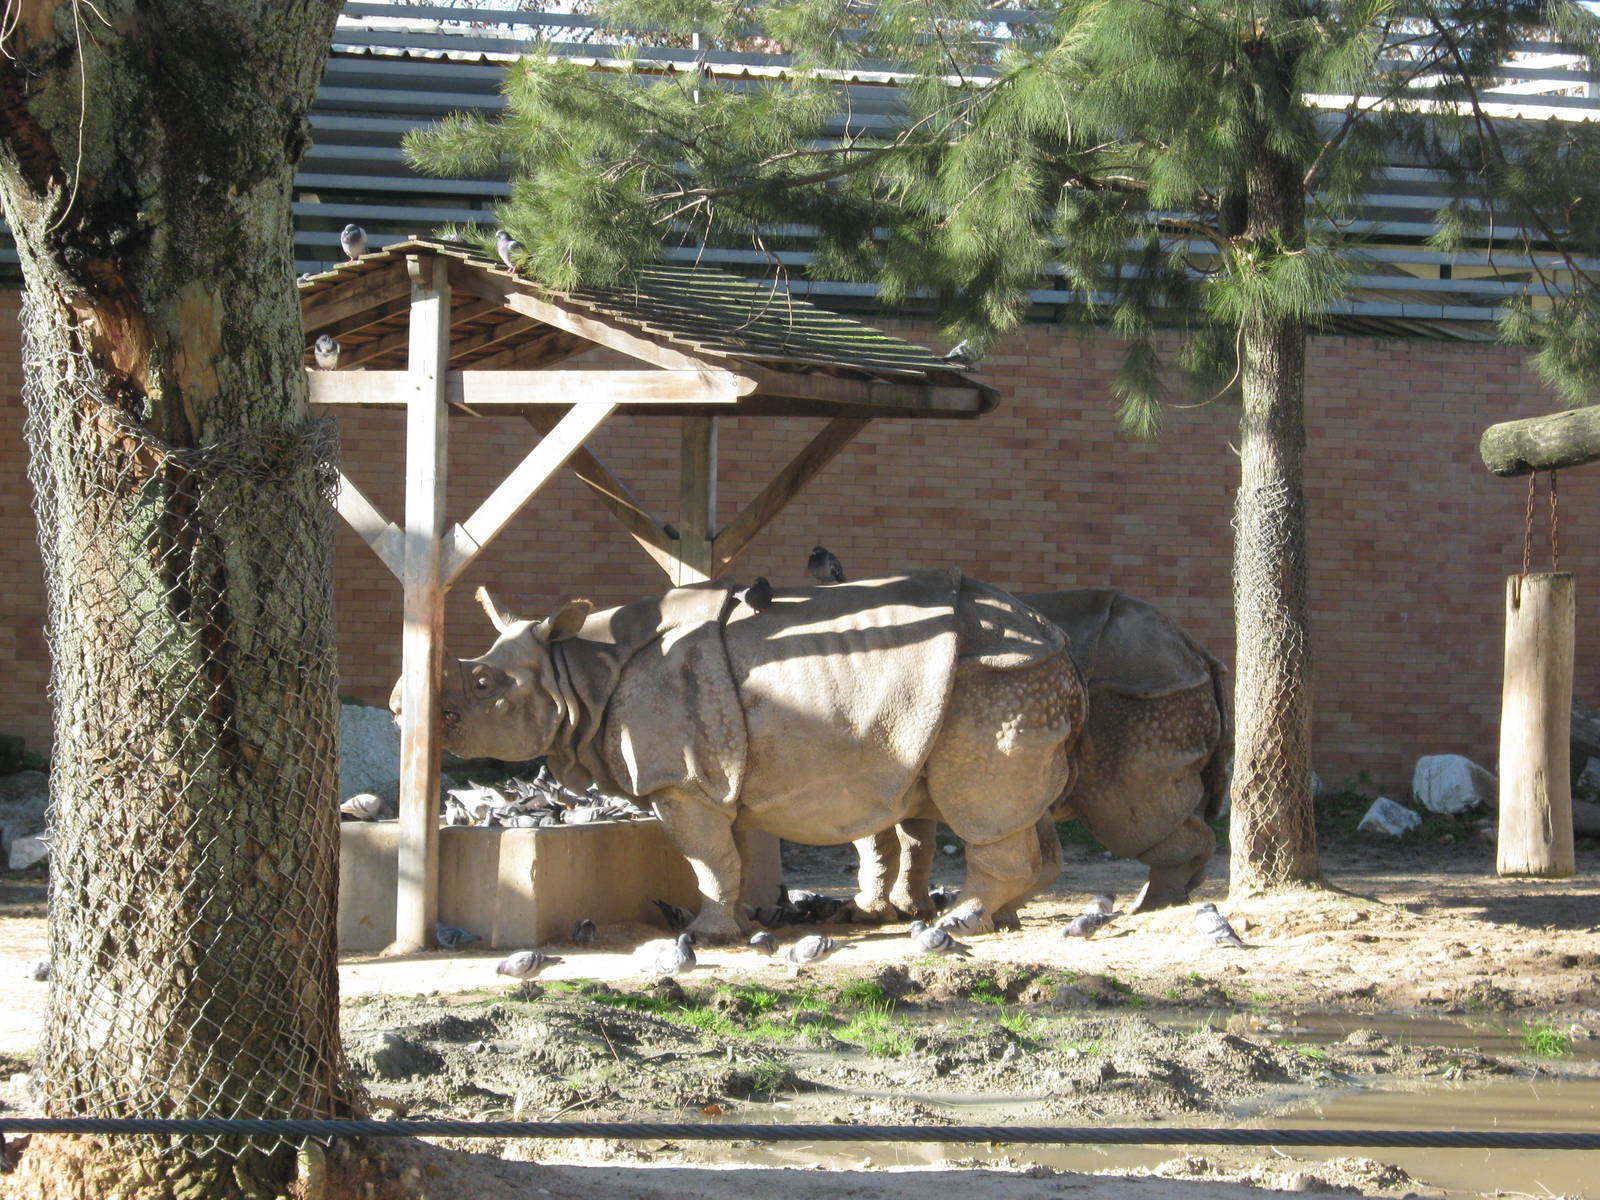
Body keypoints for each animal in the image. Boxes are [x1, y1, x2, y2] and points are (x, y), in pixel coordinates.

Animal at [395, 570, 1087, 942]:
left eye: (481, 685)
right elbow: (726, 854)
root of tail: (1063, 643)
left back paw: (962, 923)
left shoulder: (680, 779)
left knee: (981, 800)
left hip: (996, 679)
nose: (402, 706)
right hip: (1004, 683)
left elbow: (706, 855)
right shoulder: (707, 775)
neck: (577, 672)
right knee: (1015, 804)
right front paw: (732, 924)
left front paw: (703, 936)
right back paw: (1002, 919)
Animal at [852, 589, 1230, 921]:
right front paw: (908, 910)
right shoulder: (903, 748)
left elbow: (875, 836)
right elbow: (910, 836)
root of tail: (1195, 648)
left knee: (1126, 809)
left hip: (1141, 691)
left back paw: (1151, 905)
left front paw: (871, 913)